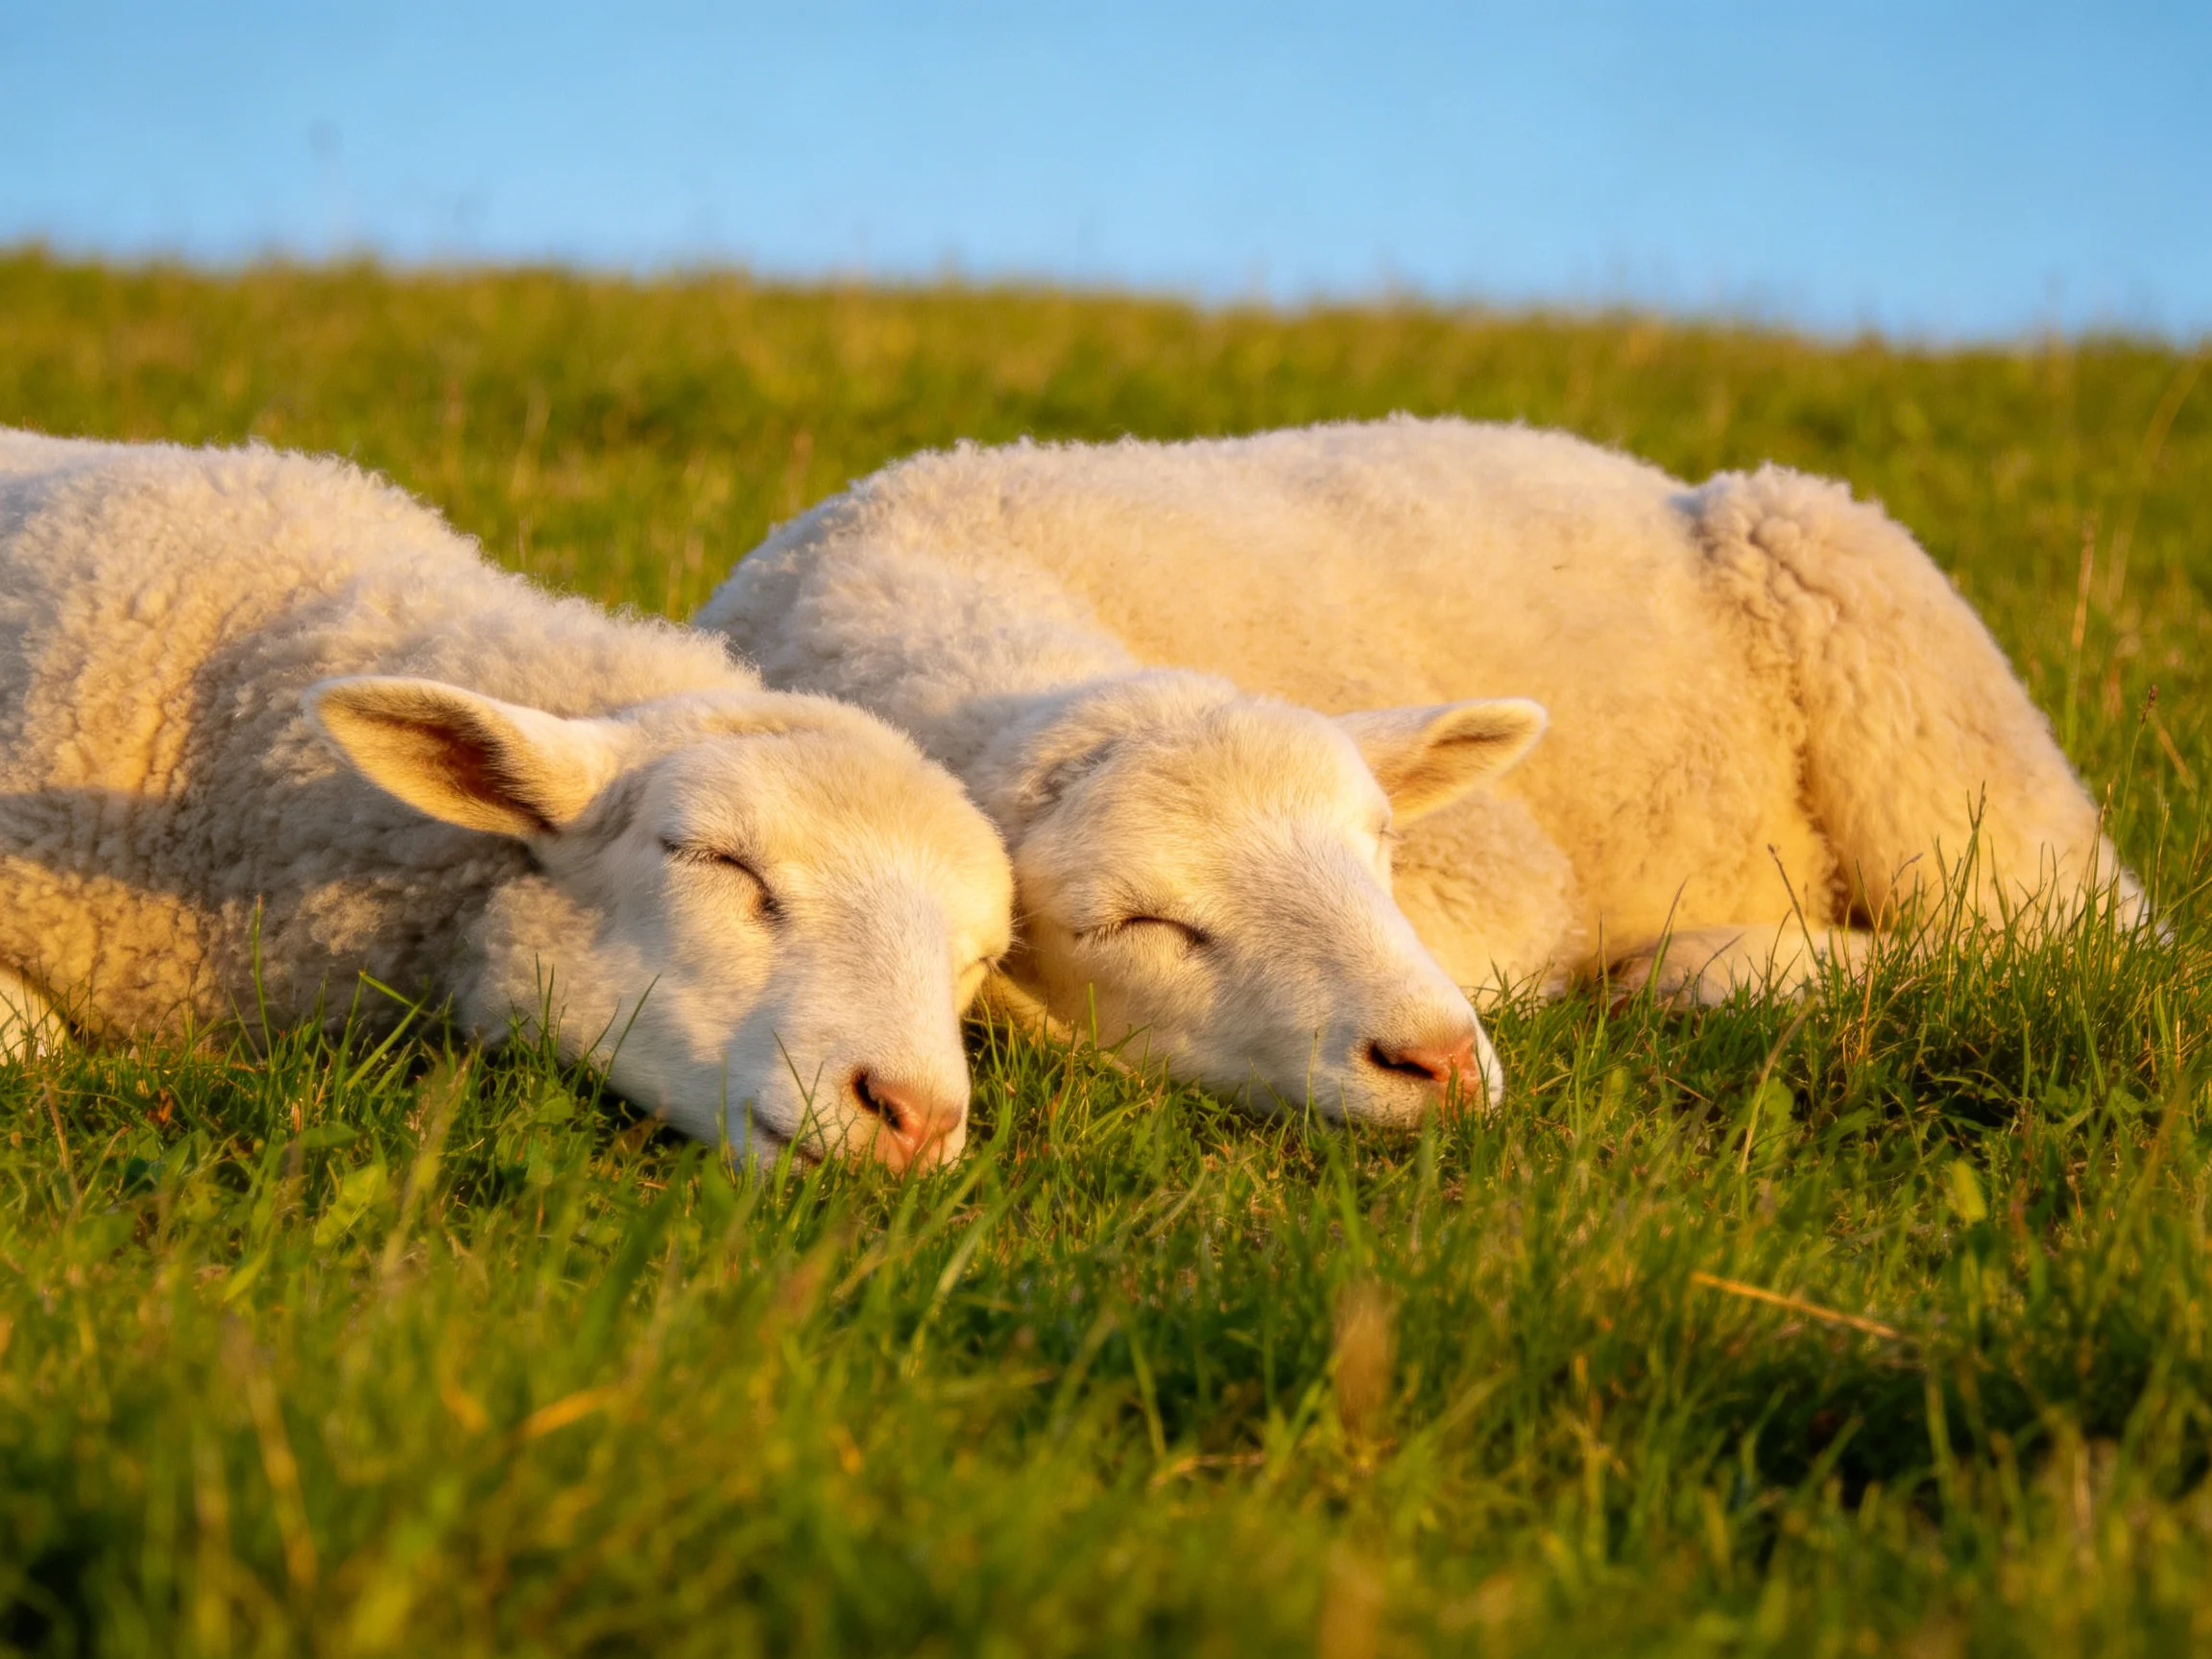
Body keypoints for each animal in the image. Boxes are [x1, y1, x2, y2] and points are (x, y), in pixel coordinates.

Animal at [696, 416, 2141, 1121]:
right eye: (1140, 924)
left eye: (1379, 847)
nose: (1438, 1063)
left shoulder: (1509, 876)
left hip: (1892, 648)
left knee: (2075, 940)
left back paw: (1707, 968)